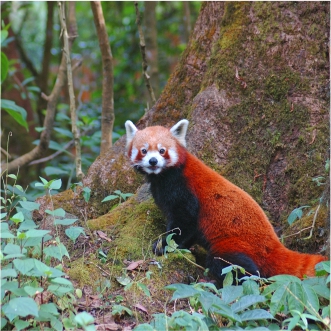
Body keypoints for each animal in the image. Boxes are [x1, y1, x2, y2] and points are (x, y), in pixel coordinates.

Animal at [124, 120, 326, 282]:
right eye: (144, 151)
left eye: (162, 150)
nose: (153, 161)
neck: (162, 177)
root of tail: (273, 244)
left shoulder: (183, 191)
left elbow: (184, 222)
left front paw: (163, 245)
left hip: (235, 244)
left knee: (231, 267)